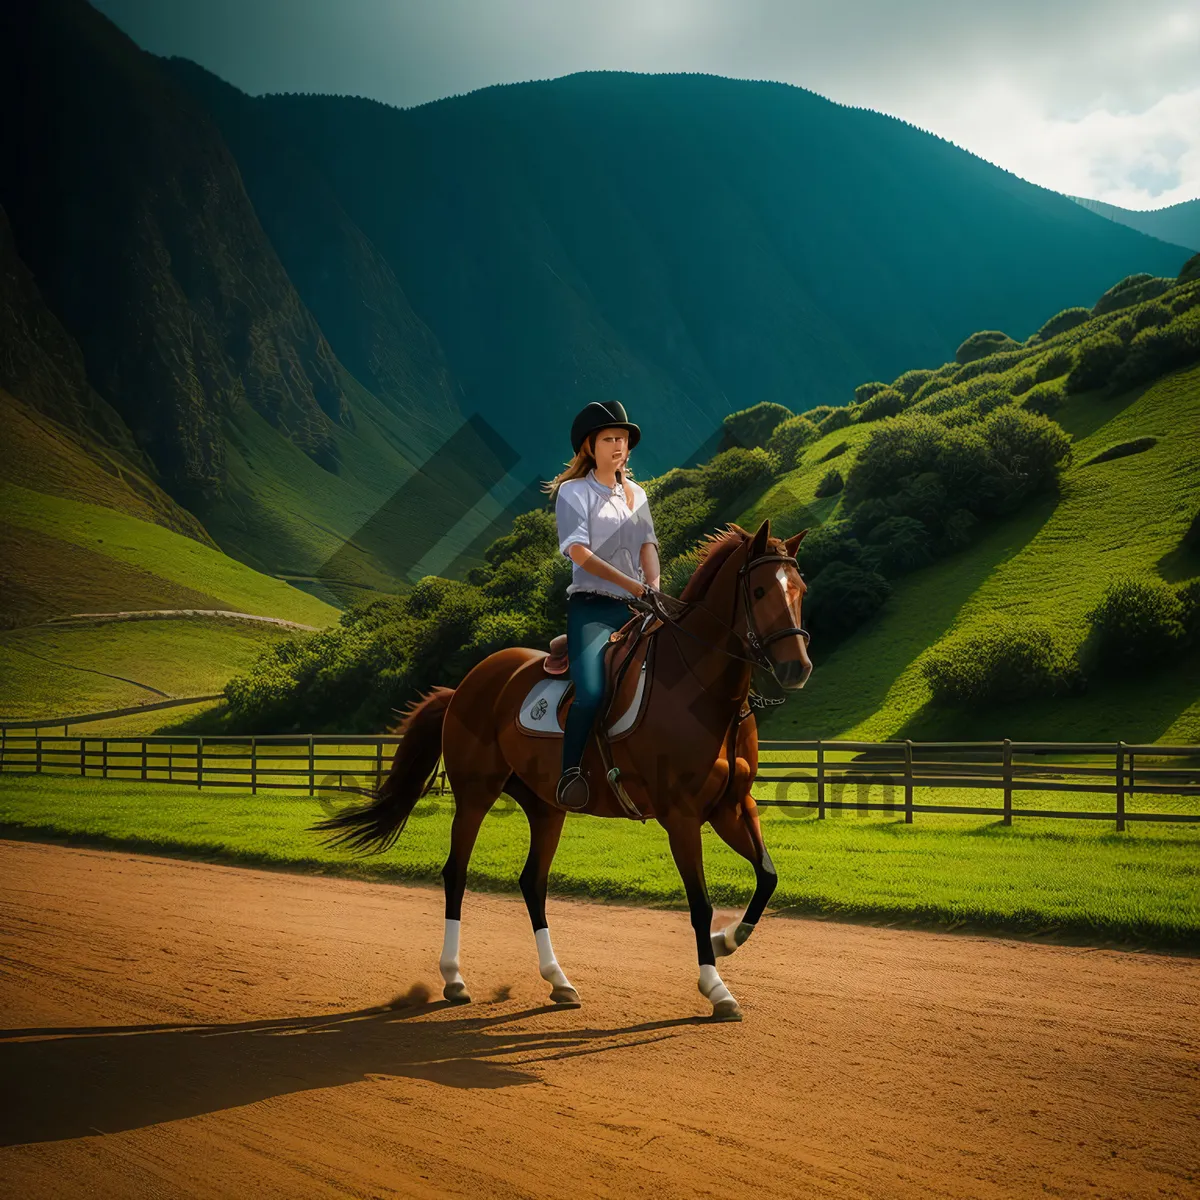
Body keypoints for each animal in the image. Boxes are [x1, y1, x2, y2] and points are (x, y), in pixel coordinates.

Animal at [314, 520, 811, 1017]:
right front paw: (716, 986)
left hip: (546, 807)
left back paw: (559, 980)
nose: (797, 668)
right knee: (456, 873)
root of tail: (465, 685)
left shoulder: (733, 807)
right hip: (475, 796)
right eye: (760, 590)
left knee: (532, 882)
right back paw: (454, 978)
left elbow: (768, 877)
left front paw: (727, 940)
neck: (698, 690)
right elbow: (700, 903)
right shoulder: (682, 818)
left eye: (800, 589)